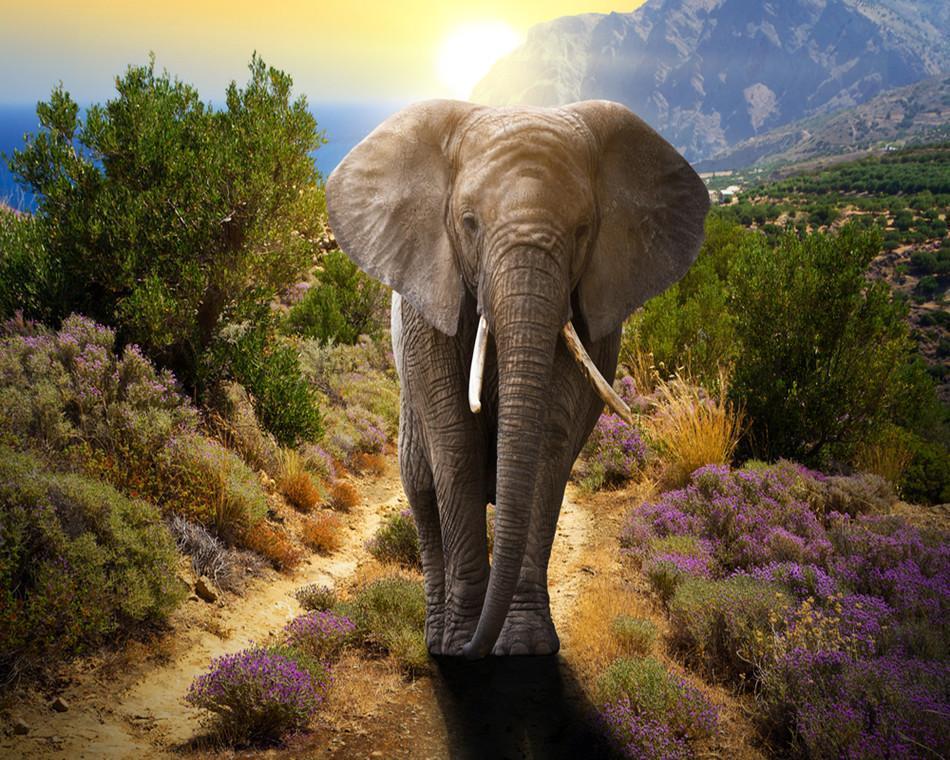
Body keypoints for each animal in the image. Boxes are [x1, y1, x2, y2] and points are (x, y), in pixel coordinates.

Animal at [326, 99, 709, 658]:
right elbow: (456, 443)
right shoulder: (428, 305)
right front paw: (460, 645)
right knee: (421, 487)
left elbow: (550, 441)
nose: (473, 650)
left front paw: (525, 646)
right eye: (468, 223)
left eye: (583, 230)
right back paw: (438, 638)